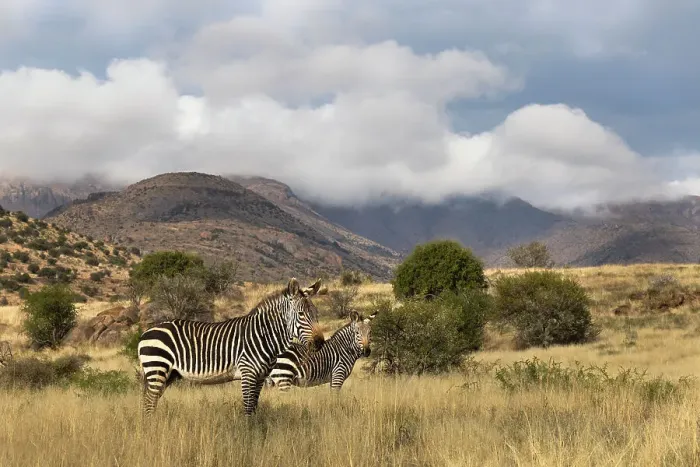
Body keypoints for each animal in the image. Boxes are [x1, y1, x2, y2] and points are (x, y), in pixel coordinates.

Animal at [137, 277, 326, 416]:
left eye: (316, 314)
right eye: (301, 314)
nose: (319, 342)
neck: (263, 335)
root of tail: (145, 334)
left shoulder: (260, 377)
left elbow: (254, 408)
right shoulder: (248, 373)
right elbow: (248, 408)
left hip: (169, 374)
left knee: (151, 401)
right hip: (157, 367)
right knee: (149, 402)